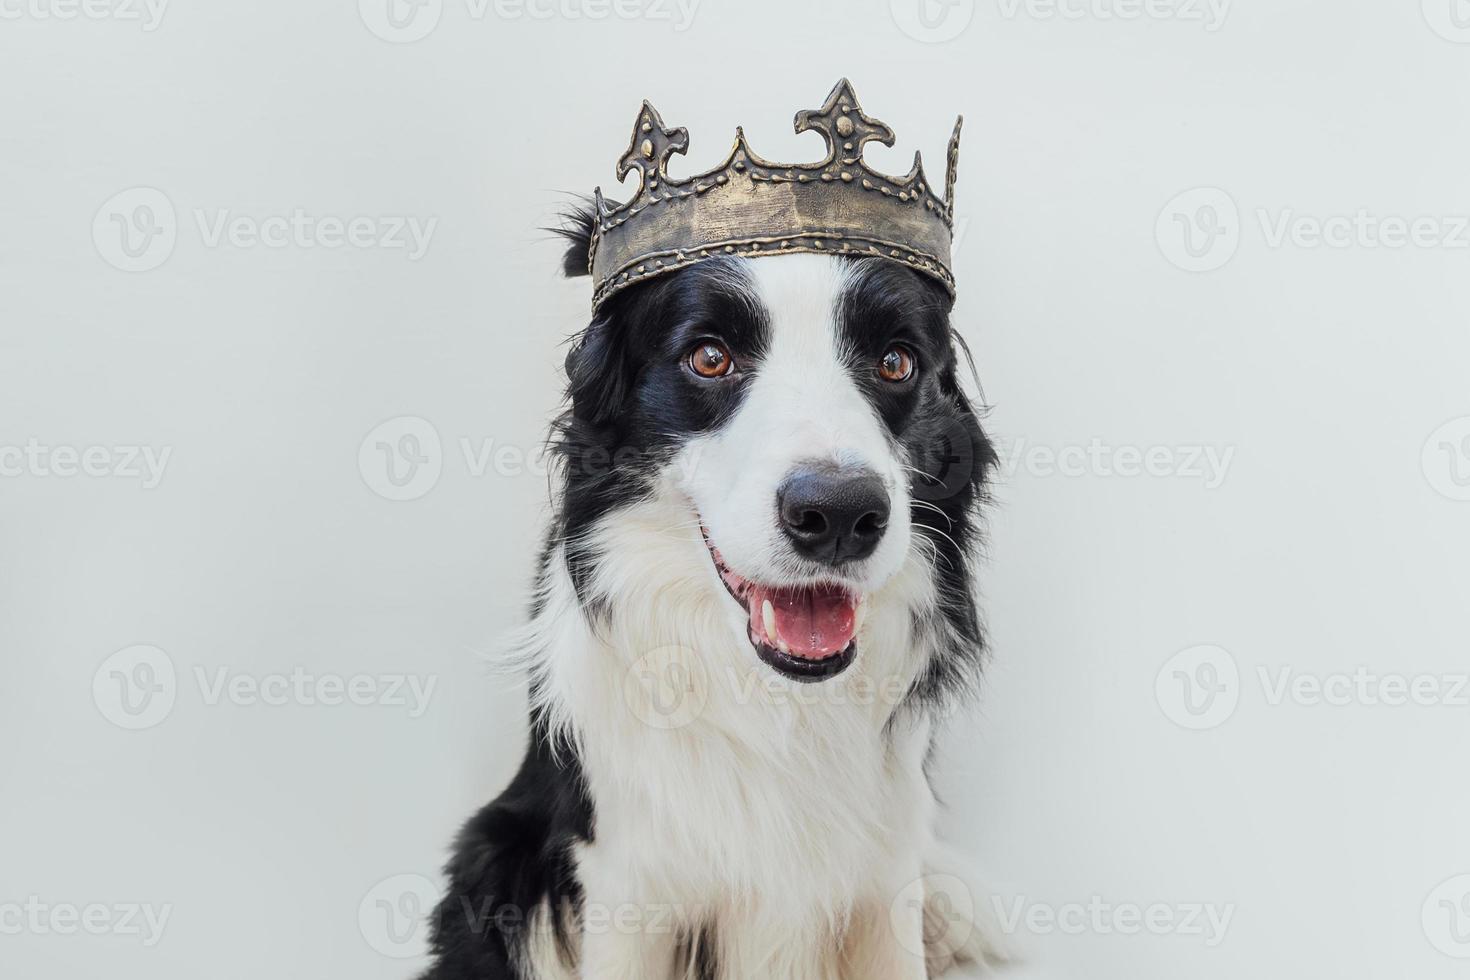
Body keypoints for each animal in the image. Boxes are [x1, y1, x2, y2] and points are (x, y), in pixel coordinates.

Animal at [420, 202, 1005, 975]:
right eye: (709, 357)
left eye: (896, 361)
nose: (839, 514)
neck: (775, 706)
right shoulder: (625, 881)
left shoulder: (887, 876)